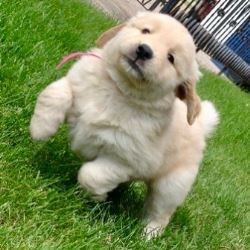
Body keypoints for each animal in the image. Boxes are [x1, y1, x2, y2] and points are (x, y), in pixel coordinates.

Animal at [30, 12, 219, 239]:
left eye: (171, 58)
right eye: (146, 31)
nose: (144, 50)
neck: (119, 89)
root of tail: (200, 127)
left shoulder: (124, 158)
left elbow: (91, 175)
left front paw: (97, 197)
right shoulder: (77, 83)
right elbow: (57, 92)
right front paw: (40, 129)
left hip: (171, 185)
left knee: (160, 212)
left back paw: (148, 235)